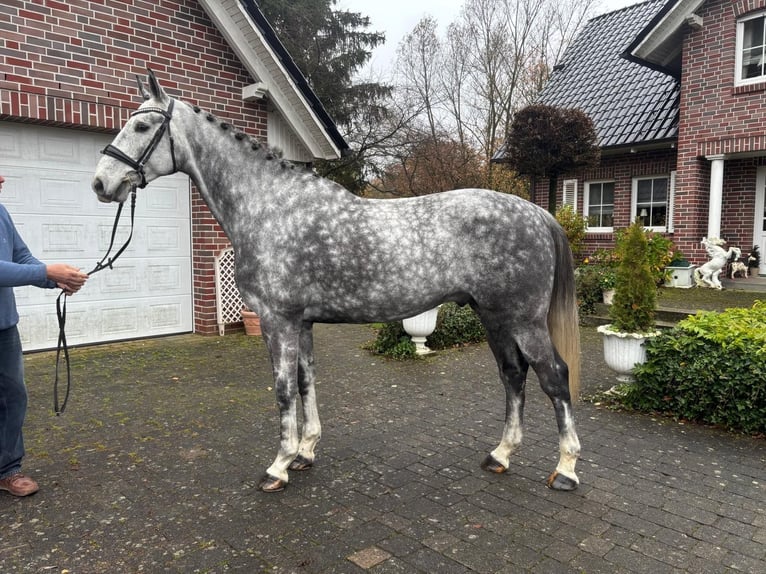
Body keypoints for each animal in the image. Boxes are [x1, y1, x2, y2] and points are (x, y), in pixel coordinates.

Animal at [92, 70, 582, 493]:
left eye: (141, 125)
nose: (101, 183)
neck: (271, 207)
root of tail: (537, 214)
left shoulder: (278, 321)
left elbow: (283, 389)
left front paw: (278, 466)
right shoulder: (302, 323)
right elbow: (307, 381)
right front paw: (305, 452)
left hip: (523, 320)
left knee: (554, 377)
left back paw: (565, 469)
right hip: (493, 316)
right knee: (513, 375)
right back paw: (501, 455)